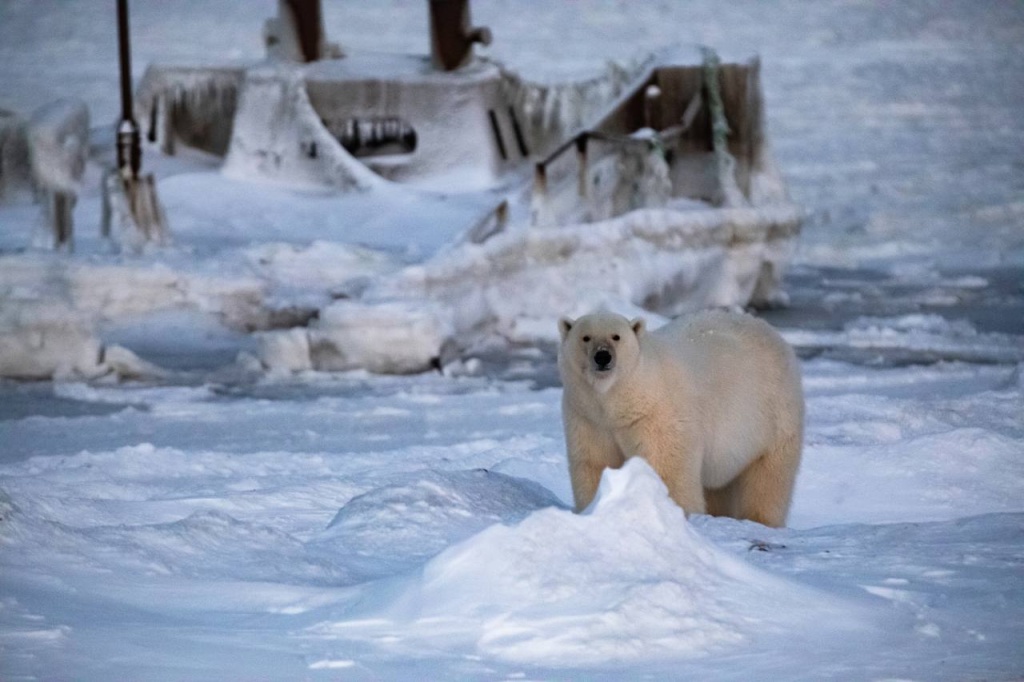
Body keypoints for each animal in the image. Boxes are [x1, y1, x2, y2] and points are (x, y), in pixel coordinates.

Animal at [557, 309, 803, 527]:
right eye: (585, 337)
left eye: (616, 336)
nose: (602, 356)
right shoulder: (589, 417)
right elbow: (594, 462)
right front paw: (595, 508)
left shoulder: (656, 413)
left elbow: (666, 466)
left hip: (774, 417)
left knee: (768, 480)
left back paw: (760, 520)